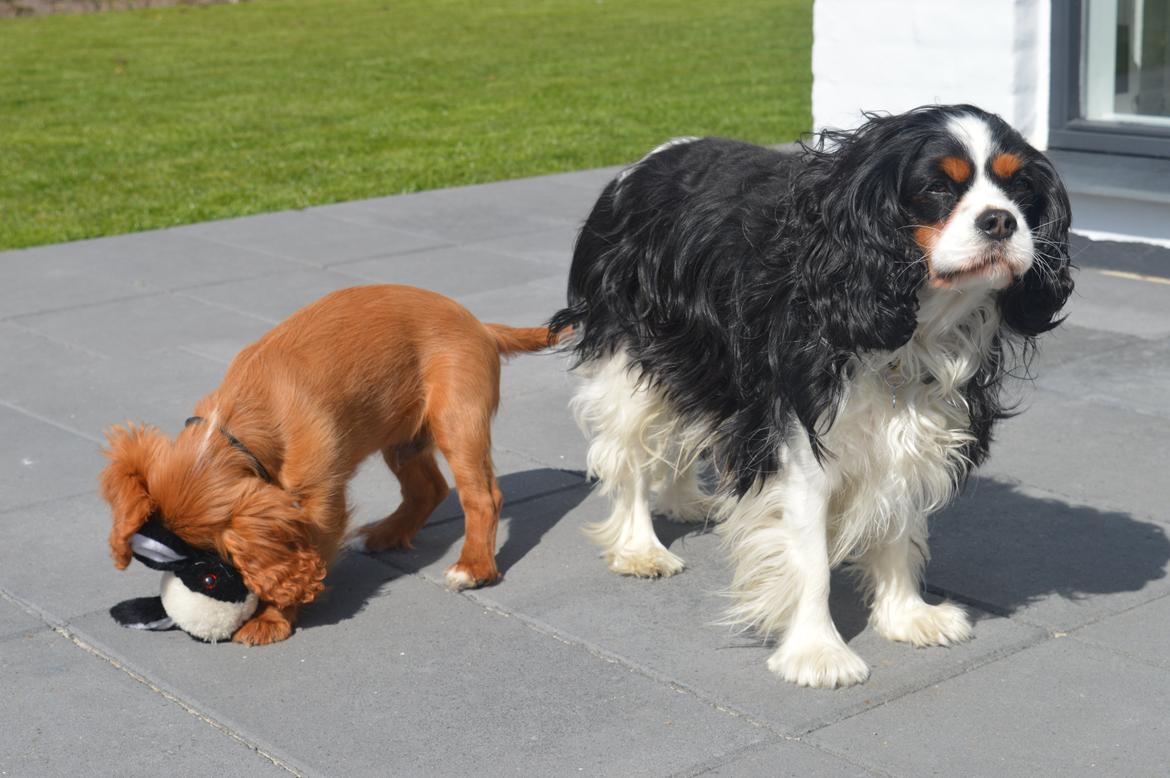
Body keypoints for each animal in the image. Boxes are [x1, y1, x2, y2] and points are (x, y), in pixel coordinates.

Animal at [101, 285, 552, 641]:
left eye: (209, 567)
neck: (240, 424)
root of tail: (481, 326)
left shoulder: (319, 503)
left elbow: (301, 559)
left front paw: (270, 618)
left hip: (458, 418)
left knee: (483, 496)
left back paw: (474, 567)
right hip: (401, 435)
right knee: (429, 489)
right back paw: (385, 535)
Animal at [552, 102, 1071, 687]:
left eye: (1019, 187)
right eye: (938, 187)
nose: (1001, 220)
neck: (909, 326)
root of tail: (646, 161)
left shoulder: (910, 429)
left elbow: (898, 525)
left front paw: (906, 615)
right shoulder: (799, 445)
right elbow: (811, 561)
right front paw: (818, 652)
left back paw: (685, 502)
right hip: (631, 358)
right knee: (631, 455)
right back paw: (640, 547)